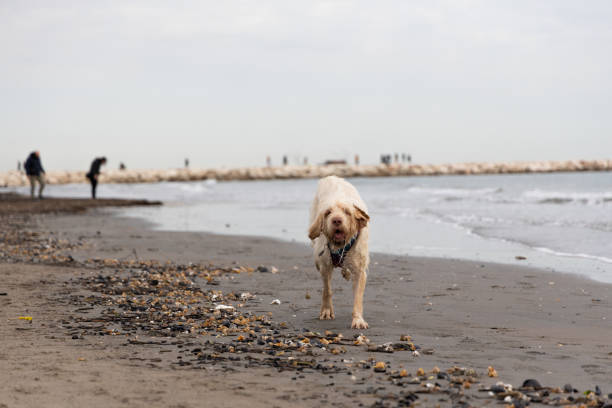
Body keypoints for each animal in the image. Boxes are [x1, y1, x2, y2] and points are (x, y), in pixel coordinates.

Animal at [308, 175, 370, 328]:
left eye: (347, 212)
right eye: (328, 213)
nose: (336, 220)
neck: (339, 246)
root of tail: (331, 177)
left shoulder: (360, 271)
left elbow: (358, 297)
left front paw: (358, 320)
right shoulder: (325, 265)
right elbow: (327, 290)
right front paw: (326, 311)